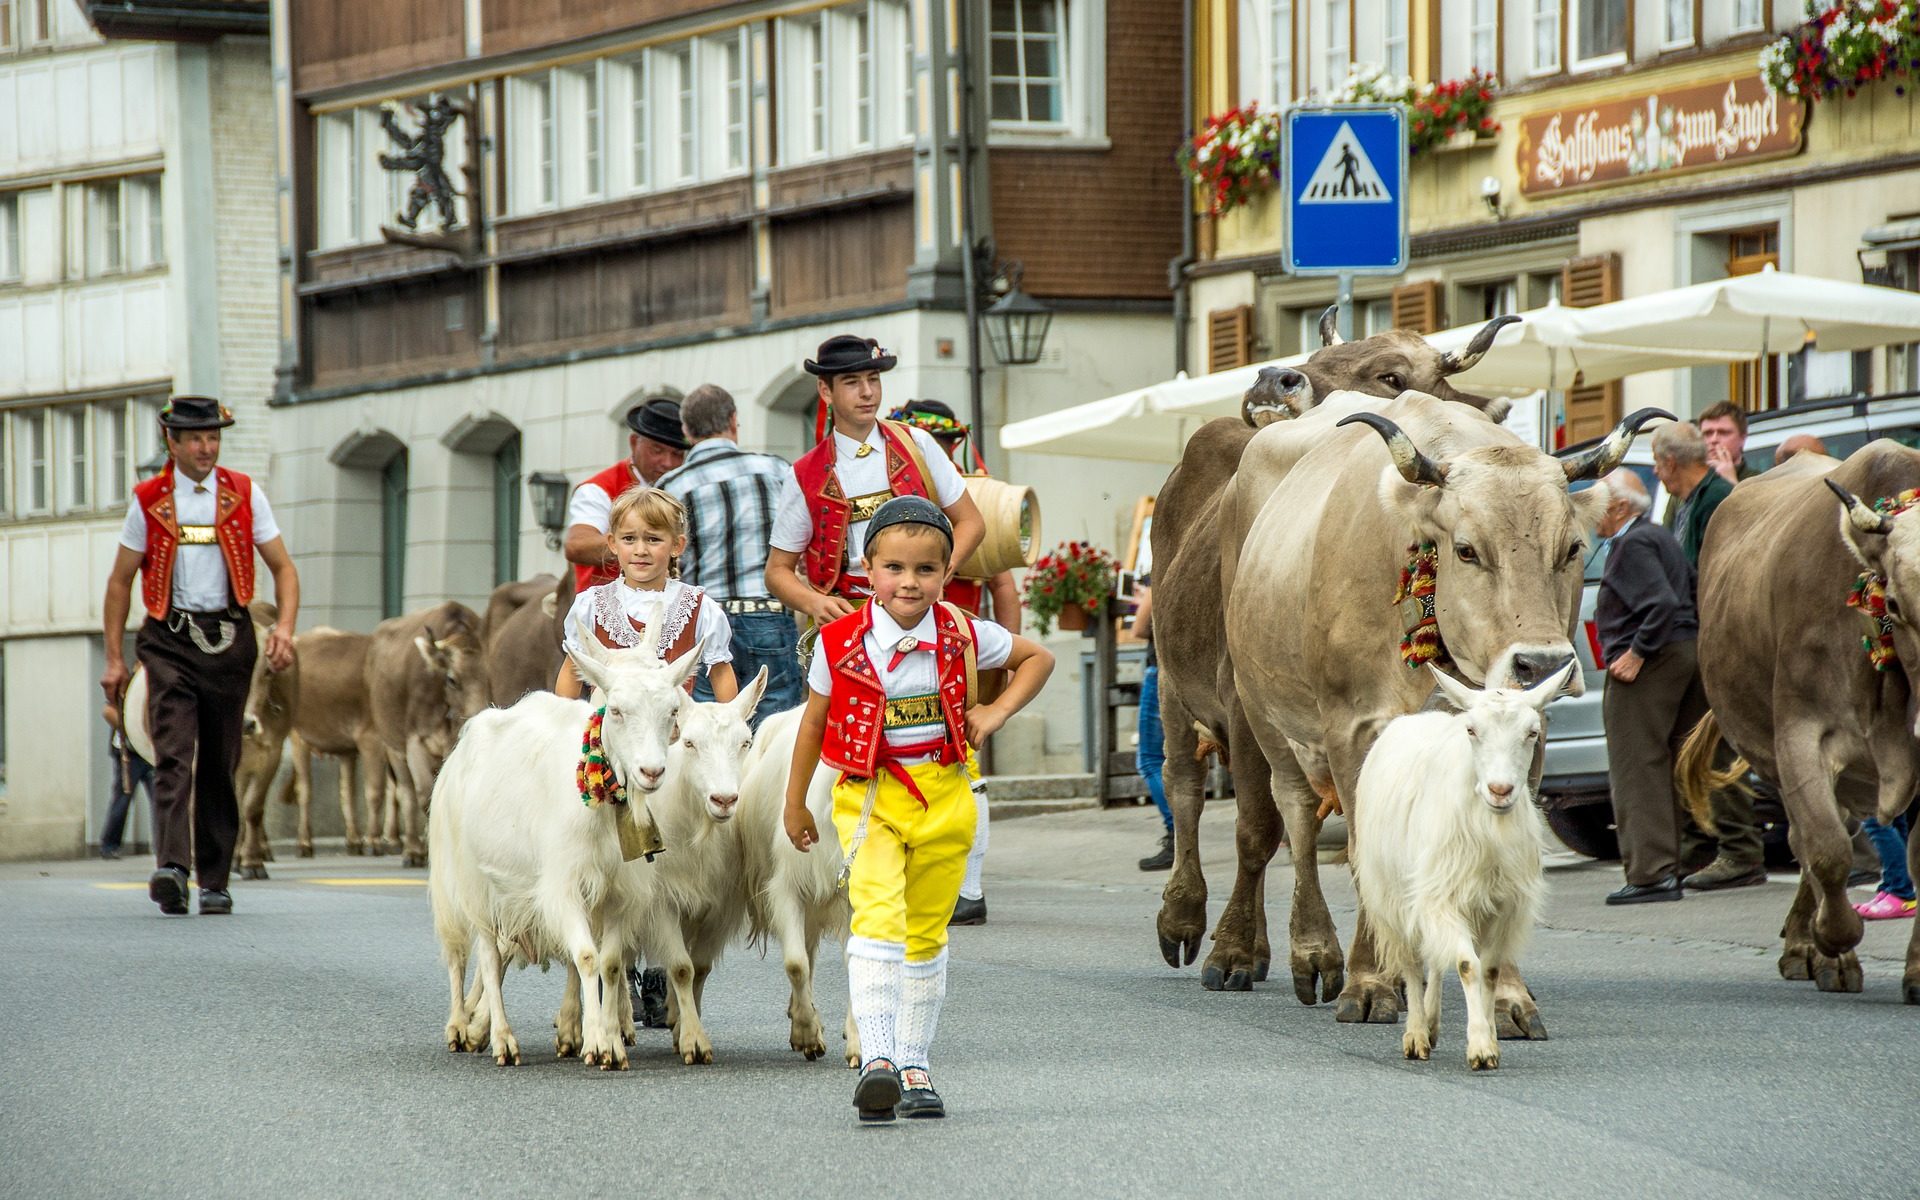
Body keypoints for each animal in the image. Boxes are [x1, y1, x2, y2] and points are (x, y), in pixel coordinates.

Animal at [362, 602, 491, 864]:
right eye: (452, 679)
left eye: (488, 675)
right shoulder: (415, 743)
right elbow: (423, 794)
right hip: (392, 747)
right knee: (406, 792)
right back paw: (409, 847)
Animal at [426, 637, 698, 1067]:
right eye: (616, 711)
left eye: (672, 711)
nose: (652, 772)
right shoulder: (562, 886)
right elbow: (586, 957)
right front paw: (597, 1042)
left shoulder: (618, 893)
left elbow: (609, 963)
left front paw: (610, 1044)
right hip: (471, 882)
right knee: (478, 956)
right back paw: (490, 1036)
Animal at [1351, 660, 1574, 1075]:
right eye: (1472, 730)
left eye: (1532, 732)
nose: (1500, 790)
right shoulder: (1441, 897)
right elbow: (1467, 965)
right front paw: (1481, 1047)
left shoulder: (1500, 905)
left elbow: (1487, 970)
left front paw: (1488, 1037)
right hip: (1395, 895)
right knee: (1412, 960)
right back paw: (1417, 1034)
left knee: (1436, 957)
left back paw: (1432, 1023)